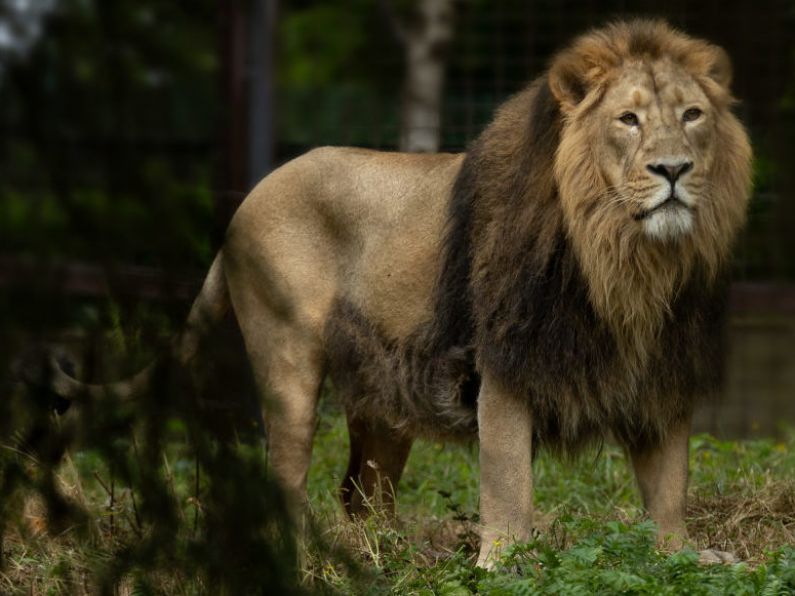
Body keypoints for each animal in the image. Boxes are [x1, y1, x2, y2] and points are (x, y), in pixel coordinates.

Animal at [45, 19, 752, 568]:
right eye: (628, 120)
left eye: (692, 115)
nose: (673, 170)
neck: (625, 259)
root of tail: (243, 205)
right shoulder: (504, 367)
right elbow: (509, 484)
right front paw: (503, 565)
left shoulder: (662, 372)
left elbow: (669, 486)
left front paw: (683, 556)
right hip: (287, 360)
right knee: (287, 478)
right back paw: (303, 561)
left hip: (383, 390)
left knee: (361, 494)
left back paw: (383, 555)